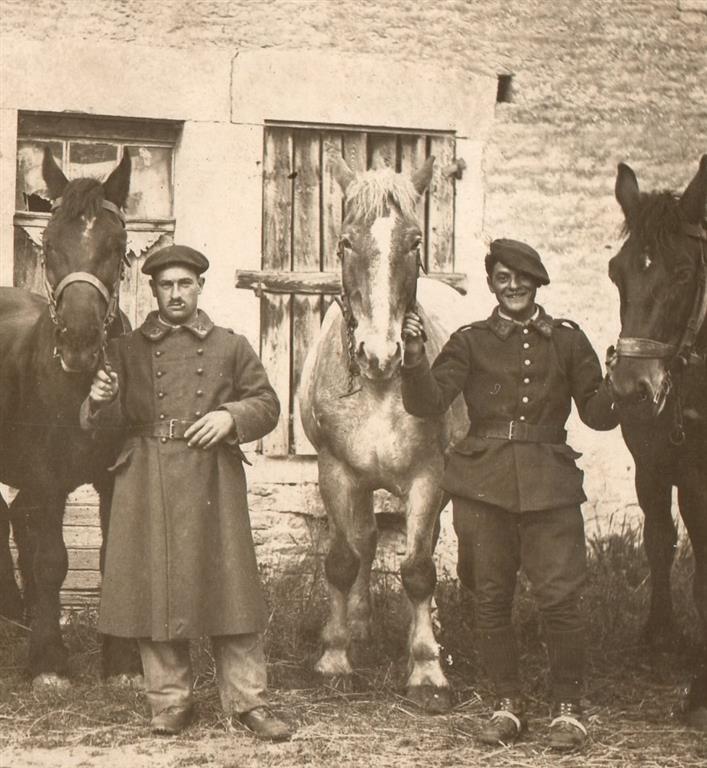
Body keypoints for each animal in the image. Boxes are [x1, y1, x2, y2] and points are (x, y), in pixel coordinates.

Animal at [0, 147, 138, 688]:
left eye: (117, 245)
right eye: (49, 243)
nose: (79, 342)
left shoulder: (114, 476)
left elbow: (109, 556)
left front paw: (122, 659)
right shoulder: (46, 477)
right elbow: (51, 560)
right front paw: (49, 662)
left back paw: (16, 615)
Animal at [300, 158, 470, 712]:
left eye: (414, 242)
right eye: (345, 242)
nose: (381, 353)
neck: (376, 387)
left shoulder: (428, 478)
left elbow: (418, 569)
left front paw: (427, 671)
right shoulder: (335, 471)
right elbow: (341, 560)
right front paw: (335, 659)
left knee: (421, 547)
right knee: (366, 540)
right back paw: (358, 626)